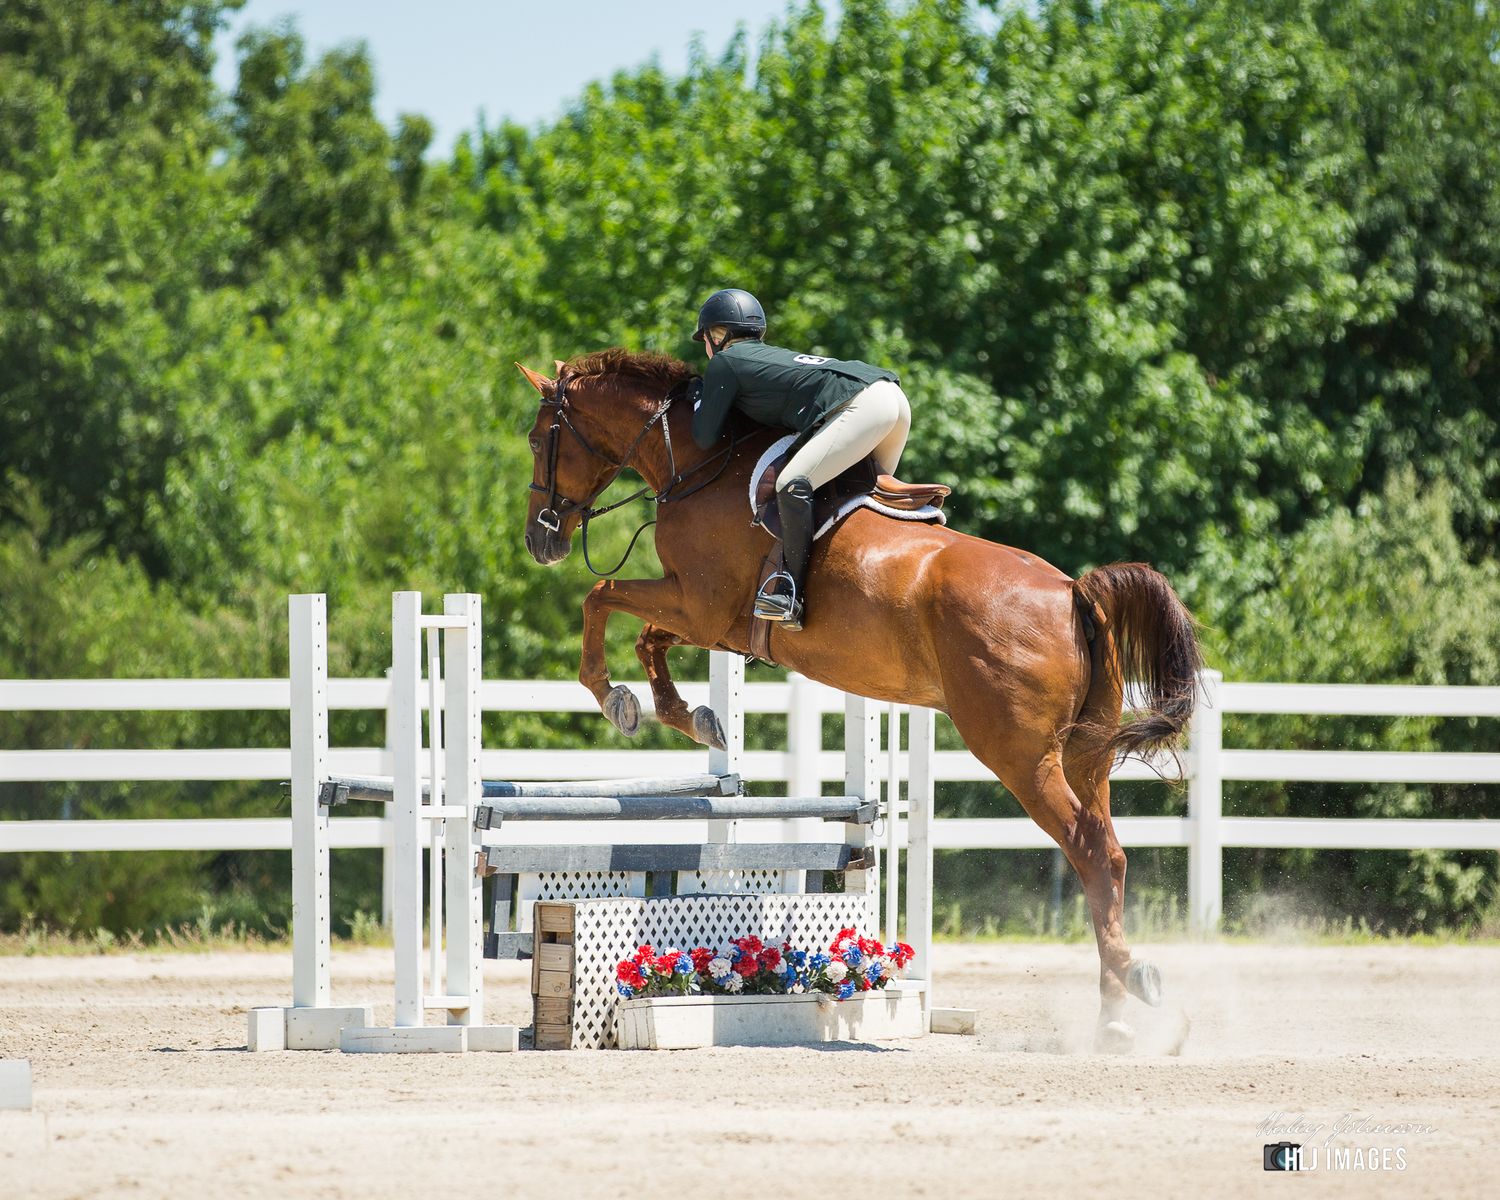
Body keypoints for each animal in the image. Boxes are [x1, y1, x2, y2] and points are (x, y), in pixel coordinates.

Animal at [517, 348, 1203, 1050]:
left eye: (539, 439)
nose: (541, 540)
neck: (696, 463)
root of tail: (1073, 592)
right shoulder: (708, 619)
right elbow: (645, 636)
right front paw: (696, 719)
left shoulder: (700, 606)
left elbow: (600, 596)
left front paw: (614, 698)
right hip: (1087, 758)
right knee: (1110, 855)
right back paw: (1121, 1007)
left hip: (1021, 756)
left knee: (1088, 850)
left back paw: (1127, 998)